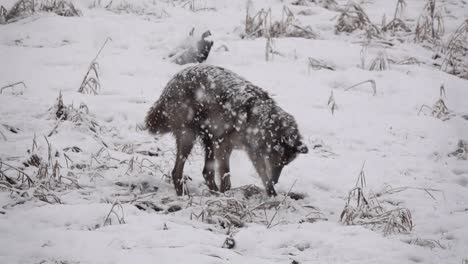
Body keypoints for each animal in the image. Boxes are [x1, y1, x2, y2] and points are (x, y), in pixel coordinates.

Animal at [145, 64, 308, 196]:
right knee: (177, 172)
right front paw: (226, 198)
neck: (256, 121)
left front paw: (272, 195)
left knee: (206, 173)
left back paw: (214, 195)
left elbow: (263, 179)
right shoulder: (224, 147)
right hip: (189, 138)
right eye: (277, 163)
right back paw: (184, 197)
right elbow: (227, 180)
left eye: (284, 165)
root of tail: (172, 82)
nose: (276, 181)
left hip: (208, 142)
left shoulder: (253, 154)